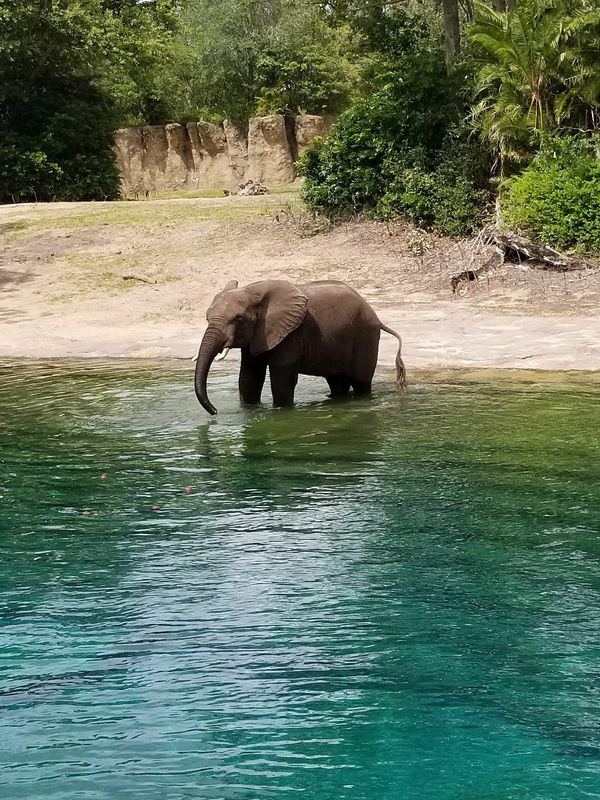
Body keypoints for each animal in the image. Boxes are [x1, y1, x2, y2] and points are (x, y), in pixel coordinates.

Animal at [194, 278, 406, 415]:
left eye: (238, 319)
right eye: (206, 317)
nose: (215, 412)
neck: (252, 290)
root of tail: (376, 317)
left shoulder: (290, 333)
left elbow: (282, 380)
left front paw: (282, 411)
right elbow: (249, 377)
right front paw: (249, 411)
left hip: (365, 337)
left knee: (361, 382)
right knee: (337, 382)